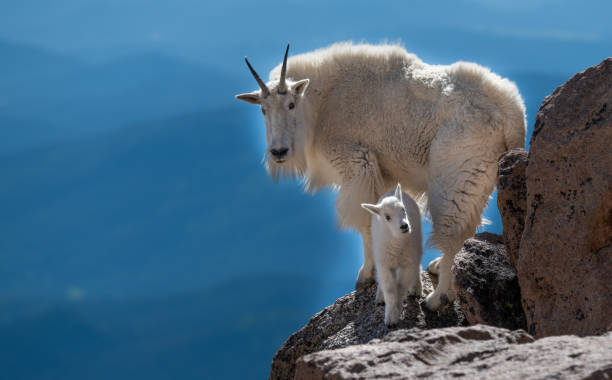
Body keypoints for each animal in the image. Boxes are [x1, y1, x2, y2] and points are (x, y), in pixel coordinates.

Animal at [235, 42, 524, 308]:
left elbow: (365, 222)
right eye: (263, 109)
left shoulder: (357, 166)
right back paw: (437, 267)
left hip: (456, 174)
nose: (278, 151)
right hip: (477, 178)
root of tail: (513, 115)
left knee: (452, 232)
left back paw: (437, 297)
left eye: (291, 104)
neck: (323, 101)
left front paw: (366, 275)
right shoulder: (383, 175)